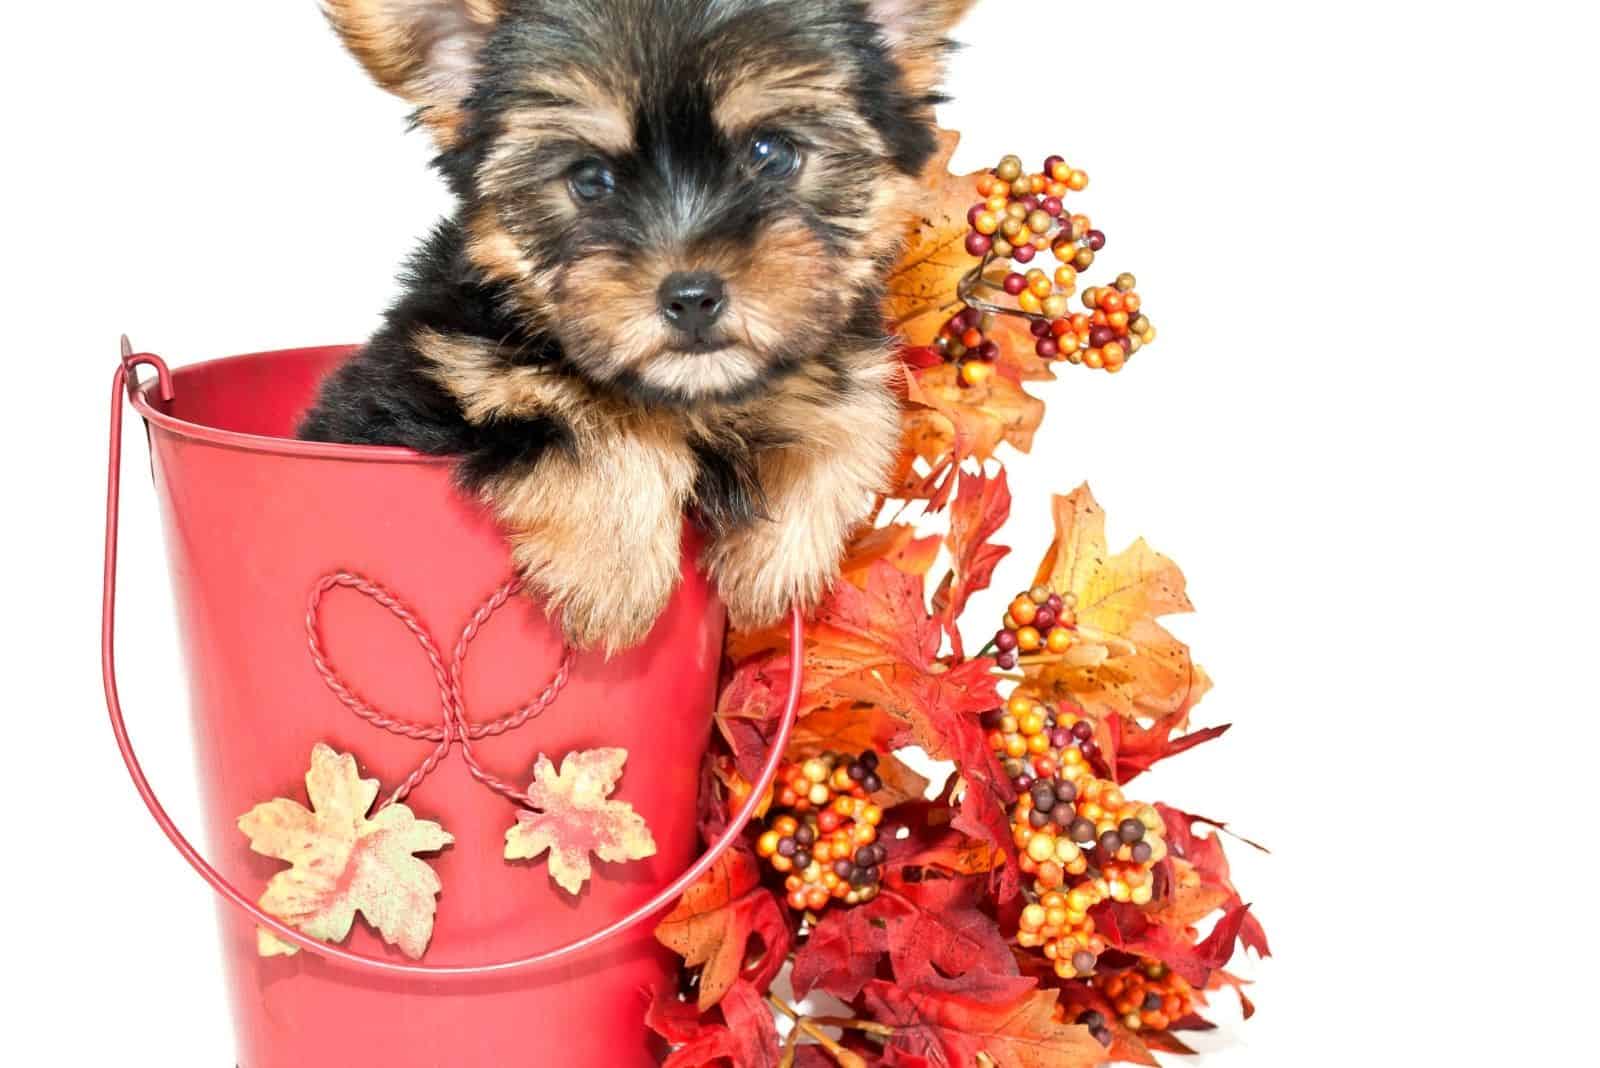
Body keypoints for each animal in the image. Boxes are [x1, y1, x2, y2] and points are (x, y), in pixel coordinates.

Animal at [299, 0, 972, 652]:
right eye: (590, 180)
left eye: (772, 154)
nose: (692, 297)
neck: (691, 398)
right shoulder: (448, 366)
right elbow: (580, 412)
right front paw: (613, 579)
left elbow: (857, 417)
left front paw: (774, 567)